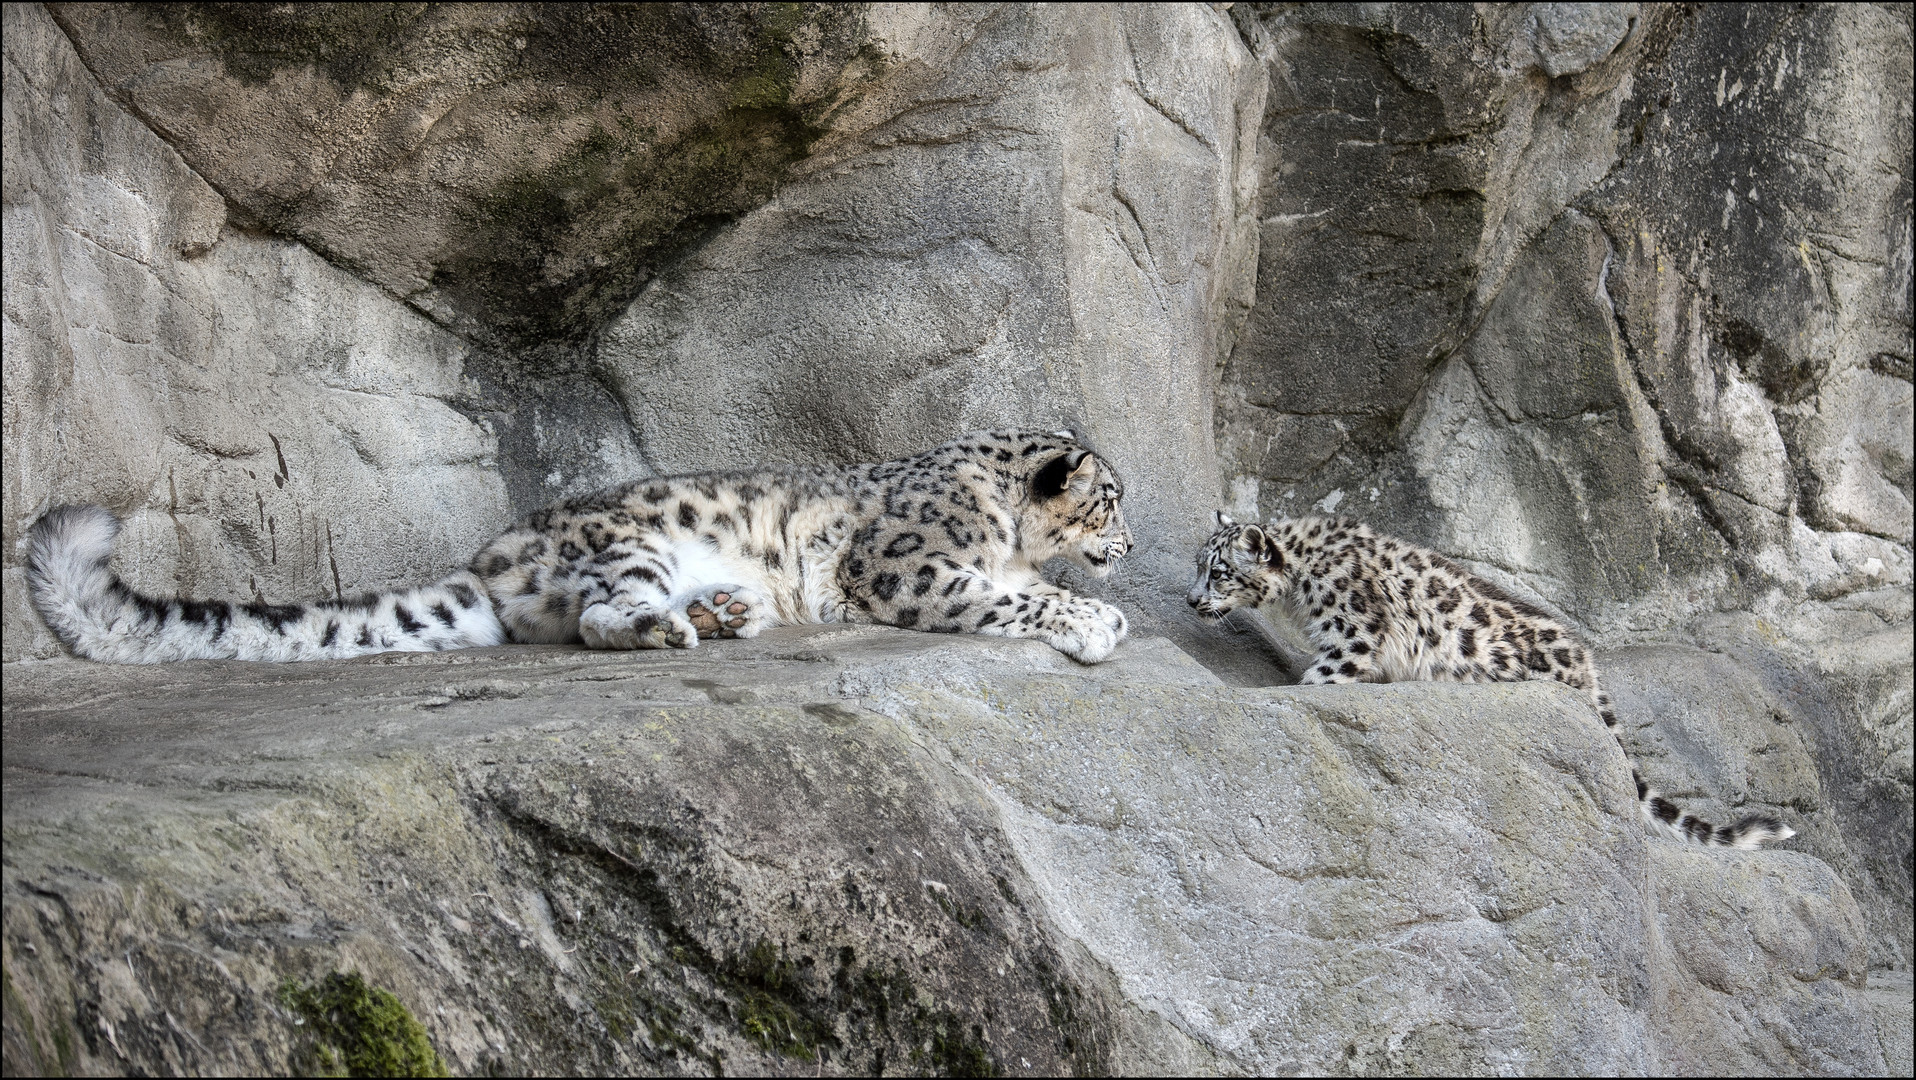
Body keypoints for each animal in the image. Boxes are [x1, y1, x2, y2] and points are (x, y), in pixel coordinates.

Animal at [1187, 509, 1801, 846]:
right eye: (1199, 565)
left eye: (1219, 572)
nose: (1191, 598)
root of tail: (1589, 666)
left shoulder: (1352, 637)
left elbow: (1320, 679)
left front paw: (1287, 693)